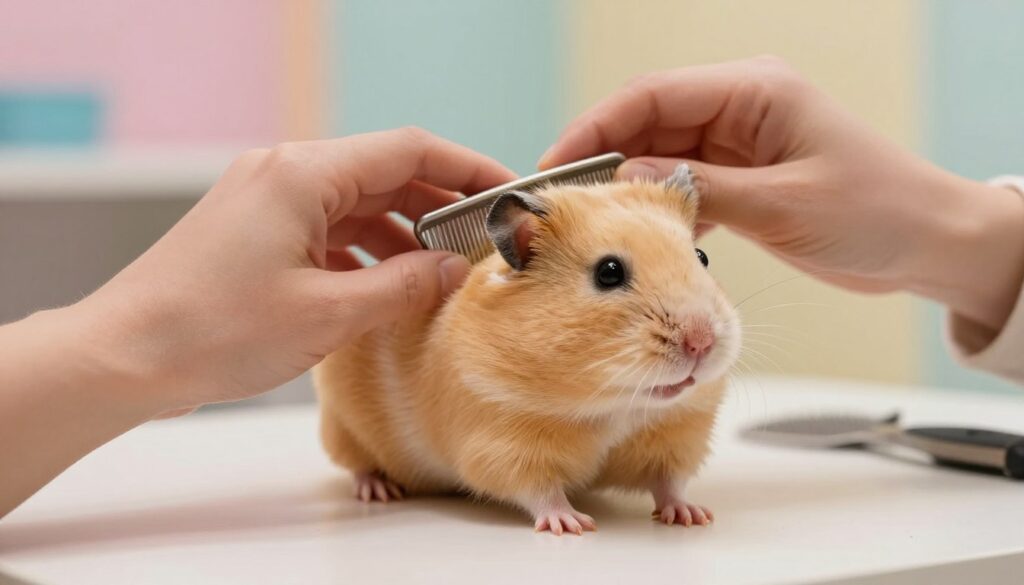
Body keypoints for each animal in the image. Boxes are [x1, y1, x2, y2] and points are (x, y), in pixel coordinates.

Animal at [314, 178, 741, 535]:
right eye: (609, 272)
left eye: (701, 256)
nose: (701, 342)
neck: (617, 406)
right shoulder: (501, 441)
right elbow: (539, 490)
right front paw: (574, 525)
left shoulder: (678, 435)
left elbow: (670, 483)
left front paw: (694, 516)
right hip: (344, 428)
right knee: (358, 465)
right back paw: (378, 490)